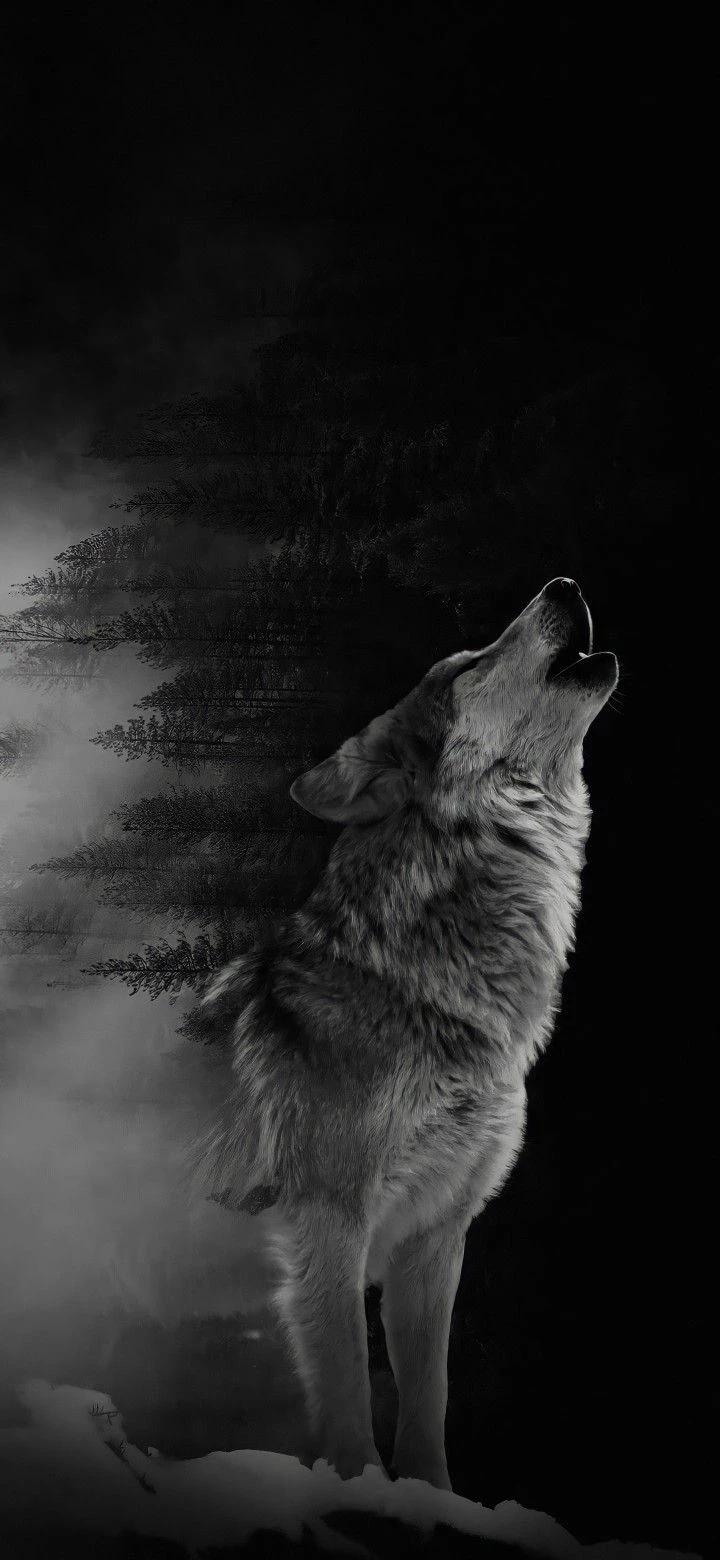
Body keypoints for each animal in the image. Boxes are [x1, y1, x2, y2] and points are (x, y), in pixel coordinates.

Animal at [190, 577, 618, 1489]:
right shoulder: (328, 1223)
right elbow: (350, 1390)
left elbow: (429, 1399)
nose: (563, 584)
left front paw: (432, 1497)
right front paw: (358, 1489)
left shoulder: (435, 1236)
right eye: (468, 665)